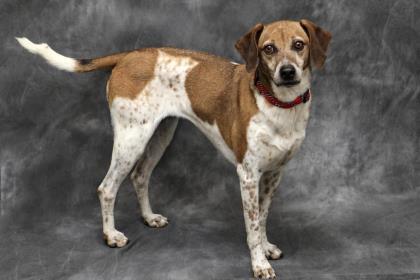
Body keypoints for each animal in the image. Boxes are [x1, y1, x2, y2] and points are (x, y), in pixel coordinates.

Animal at [17, 19, 332, 278]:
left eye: (299, 45)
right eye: (268, 49)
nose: (287, 72)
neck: (279, 105)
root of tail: (131, 54)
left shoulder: (273, 175)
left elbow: (263, 217)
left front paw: (266, 248)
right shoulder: (248, 175)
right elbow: (252, 226)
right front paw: (259, 264)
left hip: (160, 135)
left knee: (140, 176)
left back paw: (148, 218)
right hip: (131, 139)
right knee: (106, 188)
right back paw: (111, 235)